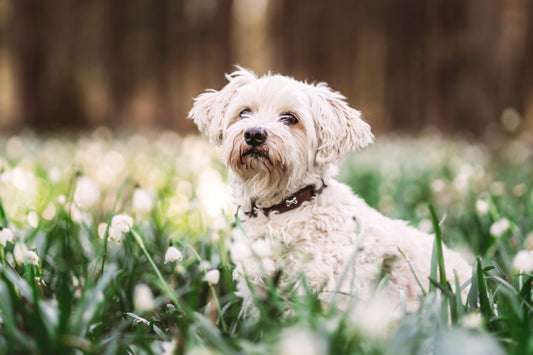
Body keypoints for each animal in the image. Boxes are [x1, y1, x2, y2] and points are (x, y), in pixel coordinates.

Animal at [189, 67, 472, 314]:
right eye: (244, 112)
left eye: (290, 118)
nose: (254, 134)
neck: (284, 211)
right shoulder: (256, 290)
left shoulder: (328, 291)